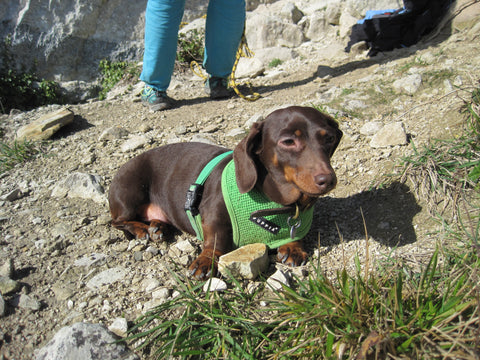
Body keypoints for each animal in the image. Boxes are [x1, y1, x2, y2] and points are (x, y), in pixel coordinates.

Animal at [109, 105, 342, 280]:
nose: (328, 180)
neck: (274, 201)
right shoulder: (212, 212)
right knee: (117, 221)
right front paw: (206, 260)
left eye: (329, 138)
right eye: (288, 142)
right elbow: (215, 239)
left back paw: (158, 226)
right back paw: (141, 229)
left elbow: (295, 233)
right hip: (129, 194)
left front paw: (293, 246)